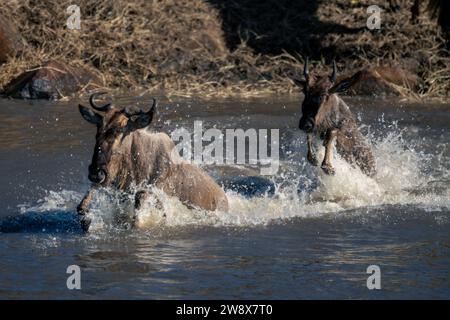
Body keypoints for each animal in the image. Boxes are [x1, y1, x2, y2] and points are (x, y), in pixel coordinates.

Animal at [77, 94, 229, 231]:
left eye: (120, 129)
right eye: (99, 126)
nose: (96, 173)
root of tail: (225, 200)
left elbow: (140, 203)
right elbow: (82, 205)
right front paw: (86, 221)